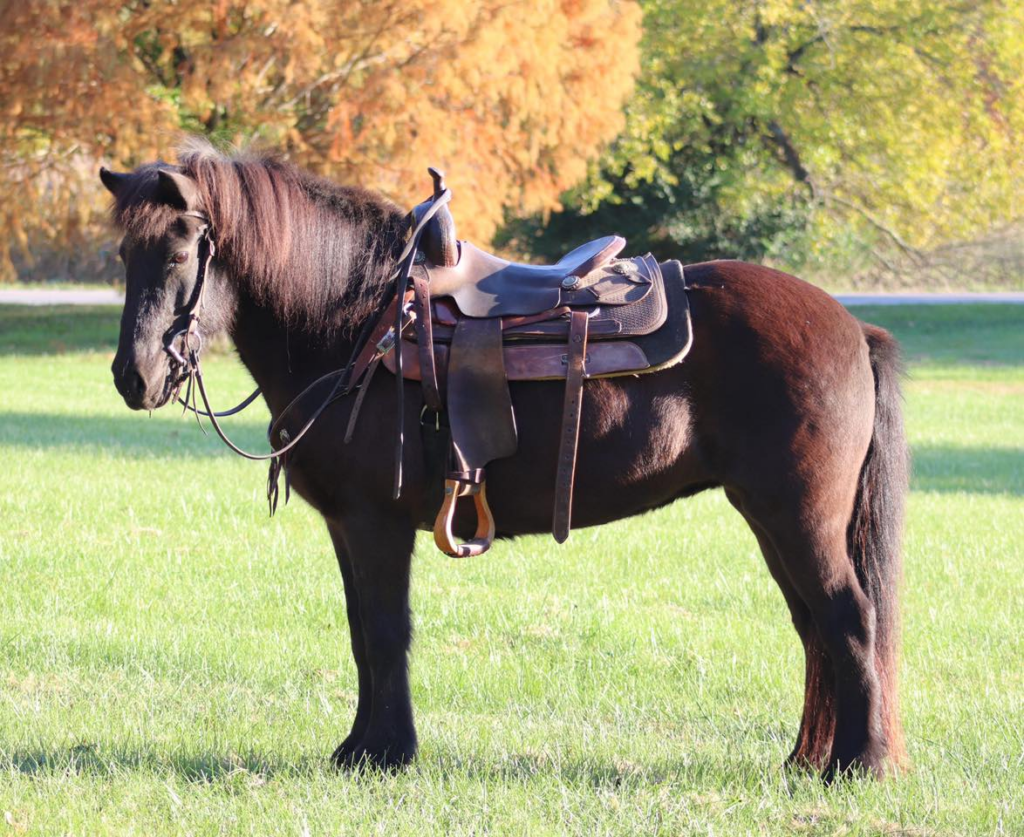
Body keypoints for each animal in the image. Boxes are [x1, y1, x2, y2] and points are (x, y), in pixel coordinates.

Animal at [99, 143, 908, 779]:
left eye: (178, 253)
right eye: (125, 255)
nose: (134, 377)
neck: (357, 326)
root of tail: (851, 324)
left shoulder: (375, 523)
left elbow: (385, 629)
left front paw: (386, 752)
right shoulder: (348, 526)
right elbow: (361, 629)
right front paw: (361, 746)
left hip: (799, 517)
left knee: (849, 618)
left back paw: (857, 764)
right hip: (771, 519)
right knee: (814, 626)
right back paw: (807, 759)